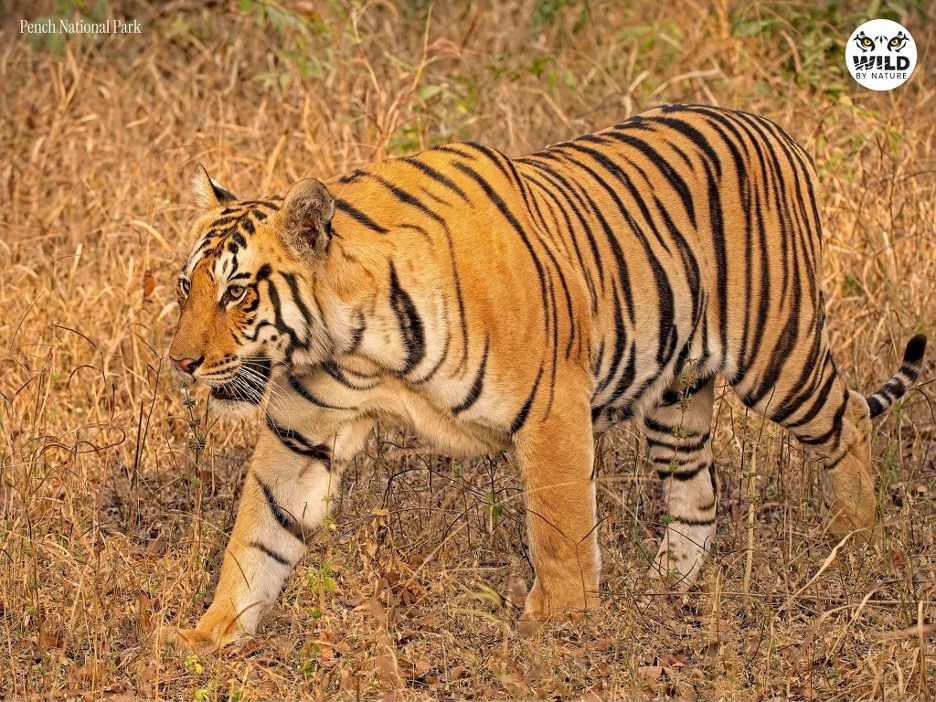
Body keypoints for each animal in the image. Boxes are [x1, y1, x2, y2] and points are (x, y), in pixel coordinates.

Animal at [168, 104, 927, 653]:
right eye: (185, 287)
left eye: (237, 292)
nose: (180, 363)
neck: (355, 342)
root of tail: (774, 128)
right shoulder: (303, 435)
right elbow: (259, 533)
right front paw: (209, 635)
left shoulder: (552, 406)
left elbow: (559, 527)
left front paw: (558, 624)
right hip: (677, 394)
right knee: (699, 492)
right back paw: (664, 584)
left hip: (778, 352)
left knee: (848, 418)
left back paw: (856, 544)